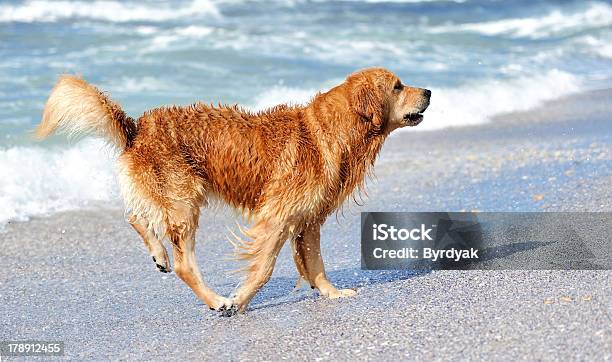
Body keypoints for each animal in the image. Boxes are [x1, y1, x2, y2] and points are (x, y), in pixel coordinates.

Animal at [35, 68, 430, 316]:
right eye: (398, 86)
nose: (428, 90)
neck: (336, 130)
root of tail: (136, 127)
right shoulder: (278, 216)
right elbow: (265, 267)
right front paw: (239, 301)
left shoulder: (308, 220)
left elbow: (316, 264)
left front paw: (332, 294)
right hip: (184, 198)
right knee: (184, 263)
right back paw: (215, 300)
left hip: (169, 193)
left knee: (136, 215)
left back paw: (159, 255)